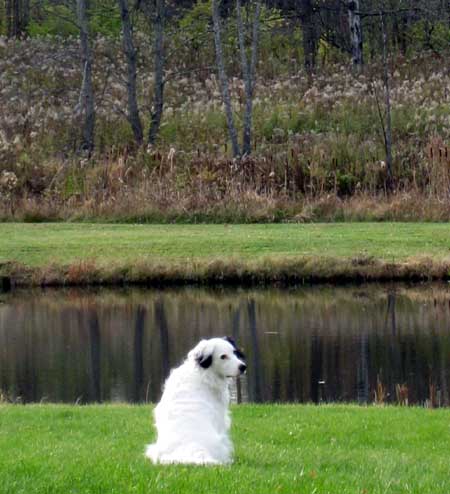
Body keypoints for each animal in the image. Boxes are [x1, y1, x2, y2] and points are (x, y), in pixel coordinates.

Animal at [146, 334, 246, 466]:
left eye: (235, 353)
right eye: (223, 356)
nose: (243, 367)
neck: (203, 373)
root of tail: (194, 449)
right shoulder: (220, 418)